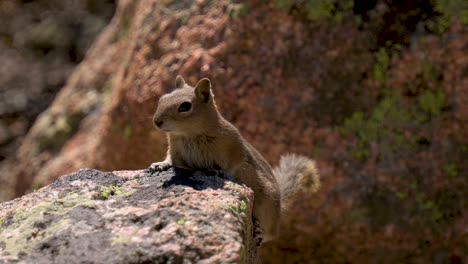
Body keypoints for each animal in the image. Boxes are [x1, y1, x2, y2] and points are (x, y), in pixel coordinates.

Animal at [148, 76, 320, 245]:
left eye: (185, 106)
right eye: (162, 99)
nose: (156, 121)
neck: (189, 135)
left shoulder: (234, 146)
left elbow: (233, 164)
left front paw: (219, 172)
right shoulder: (175, 150)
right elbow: (170, 159)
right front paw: (160, 164)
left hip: (267, 204)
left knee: (271, 233)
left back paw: (262, 232)